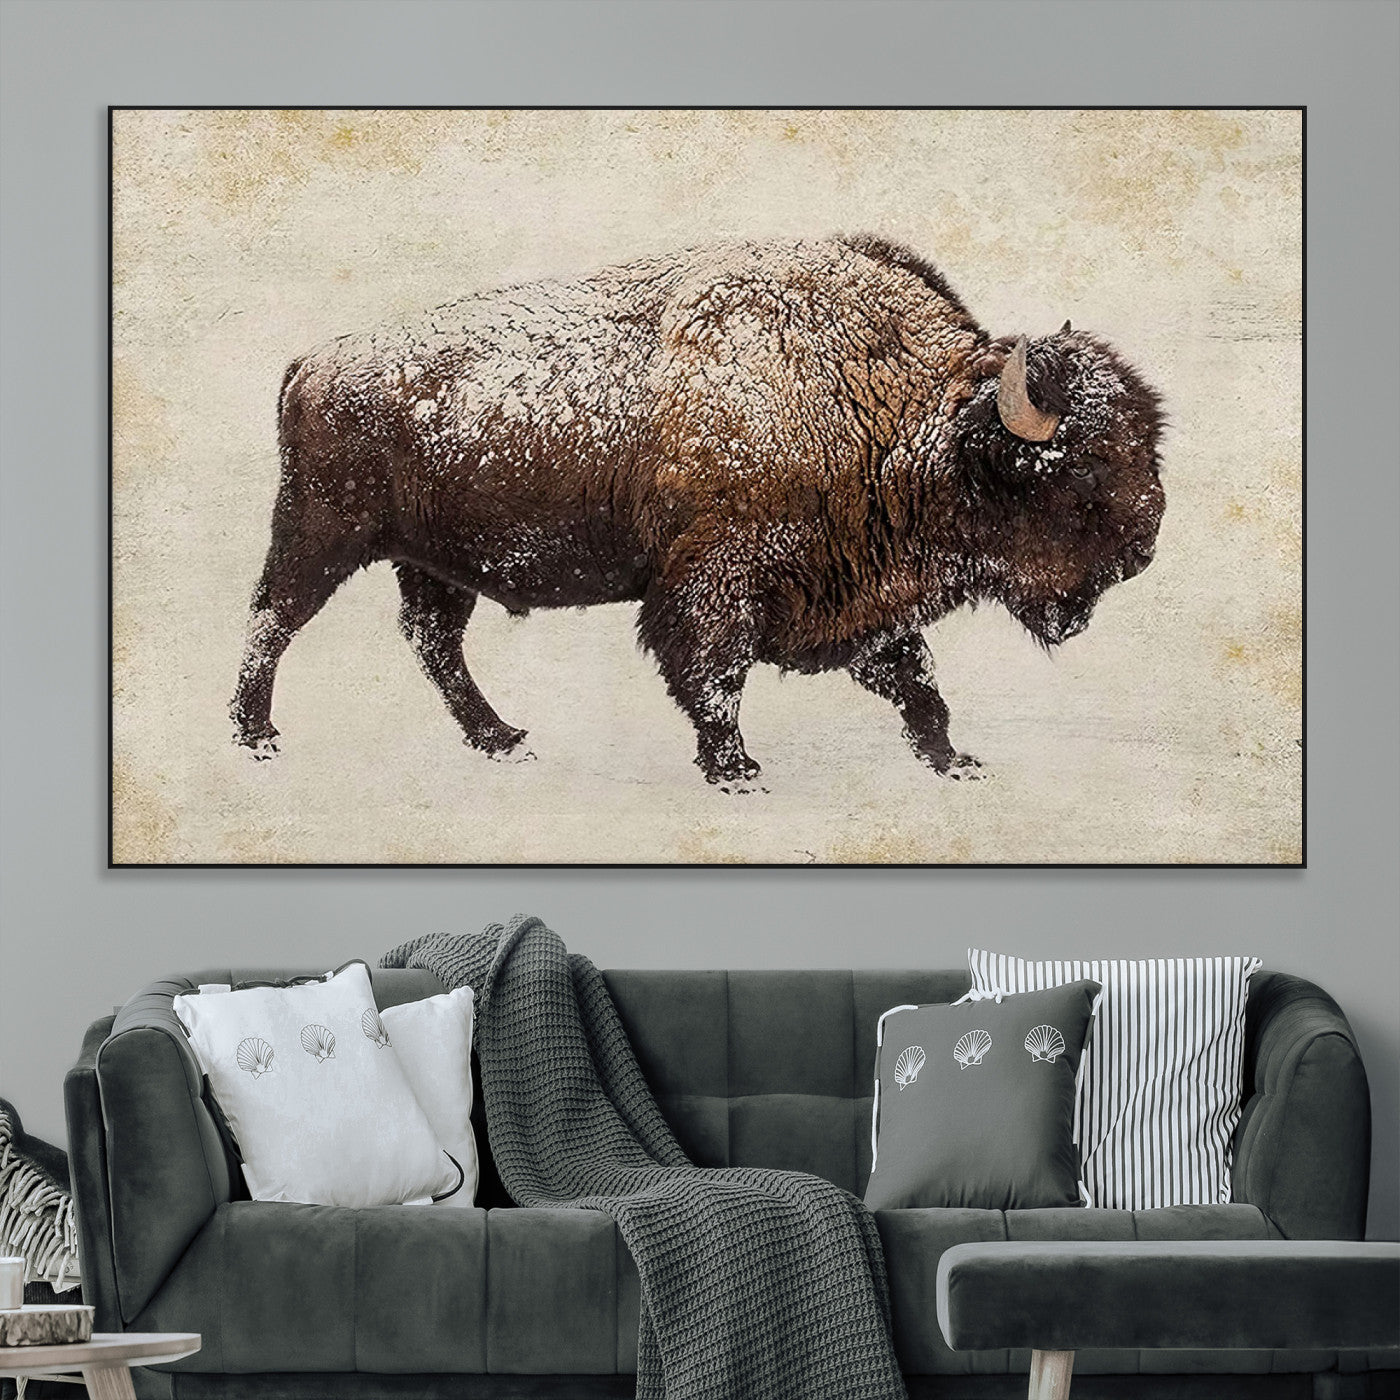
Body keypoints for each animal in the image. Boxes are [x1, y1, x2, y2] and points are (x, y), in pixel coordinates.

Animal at [231, 237, 1164, 789]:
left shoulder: (866, 595)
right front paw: (736, 769)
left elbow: (917, 681)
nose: (1146, 547)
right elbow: (715, 675)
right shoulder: (717, 582)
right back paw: (257, 738)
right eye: (1080, 470)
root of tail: (314, 359)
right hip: (321, 534)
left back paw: (503, 739)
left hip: (432, 563)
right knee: (273, 620)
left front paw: (954, 761)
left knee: (433, 643)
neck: (896, 413)